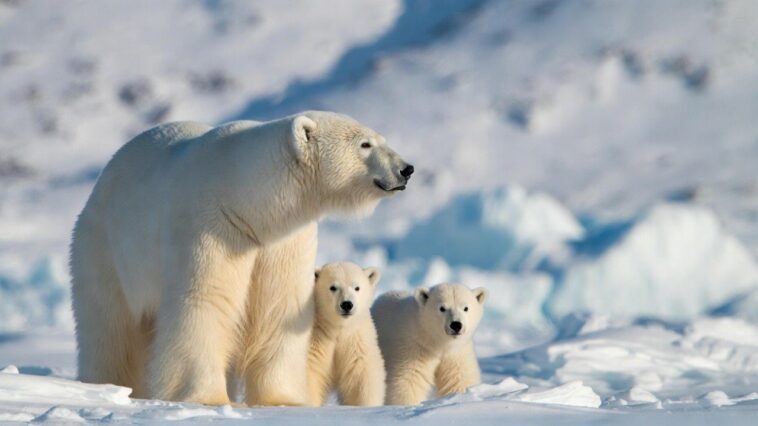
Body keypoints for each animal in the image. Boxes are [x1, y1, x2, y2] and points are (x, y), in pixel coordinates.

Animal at [306, 262, 386, 407]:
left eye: (356, 287)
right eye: (333, 287)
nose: (347, 304)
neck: (338, 328)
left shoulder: (355, 340)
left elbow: (361, 376)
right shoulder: (316, 337)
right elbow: (311, 373)